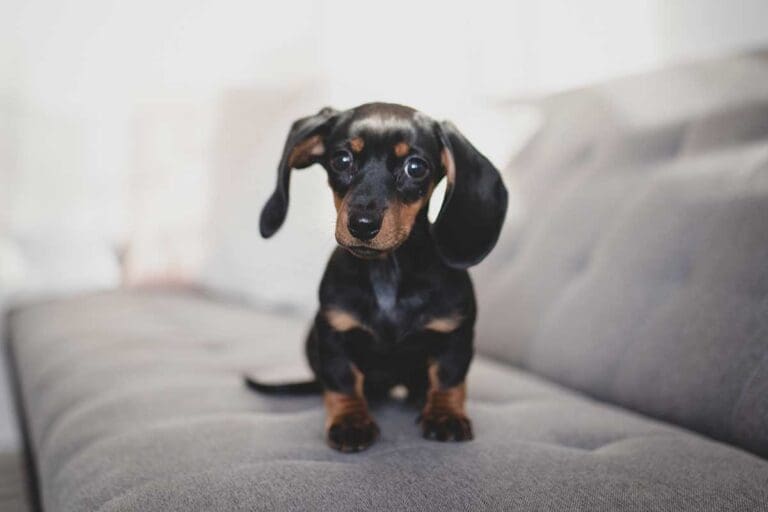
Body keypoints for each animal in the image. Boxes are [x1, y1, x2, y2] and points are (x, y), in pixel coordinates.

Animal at [249, 104, 508, 452]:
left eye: (416, 167)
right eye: (342, 159)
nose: (362, 224)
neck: (388, 272)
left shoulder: (455, 333)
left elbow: (449, 378)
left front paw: (445, 415)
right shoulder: (333, 334)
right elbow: (343, 382)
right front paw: (350, 421)